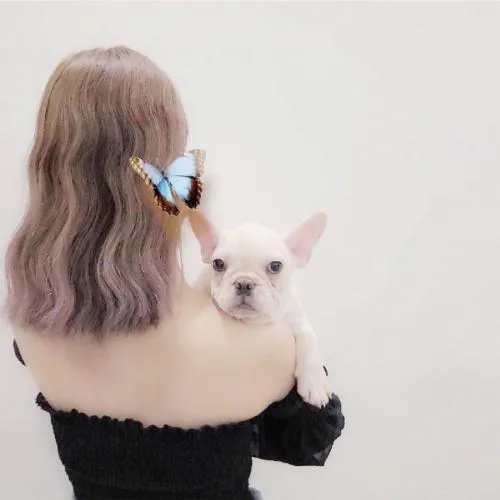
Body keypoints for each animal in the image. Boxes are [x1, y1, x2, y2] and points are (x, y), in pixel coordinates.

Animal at [191, 212, 330, 408]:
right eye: (218, 263)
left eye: (276, 266)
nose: (244, 282)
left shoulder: (296, 318)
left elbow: (310, 342)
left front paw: (314, 384)